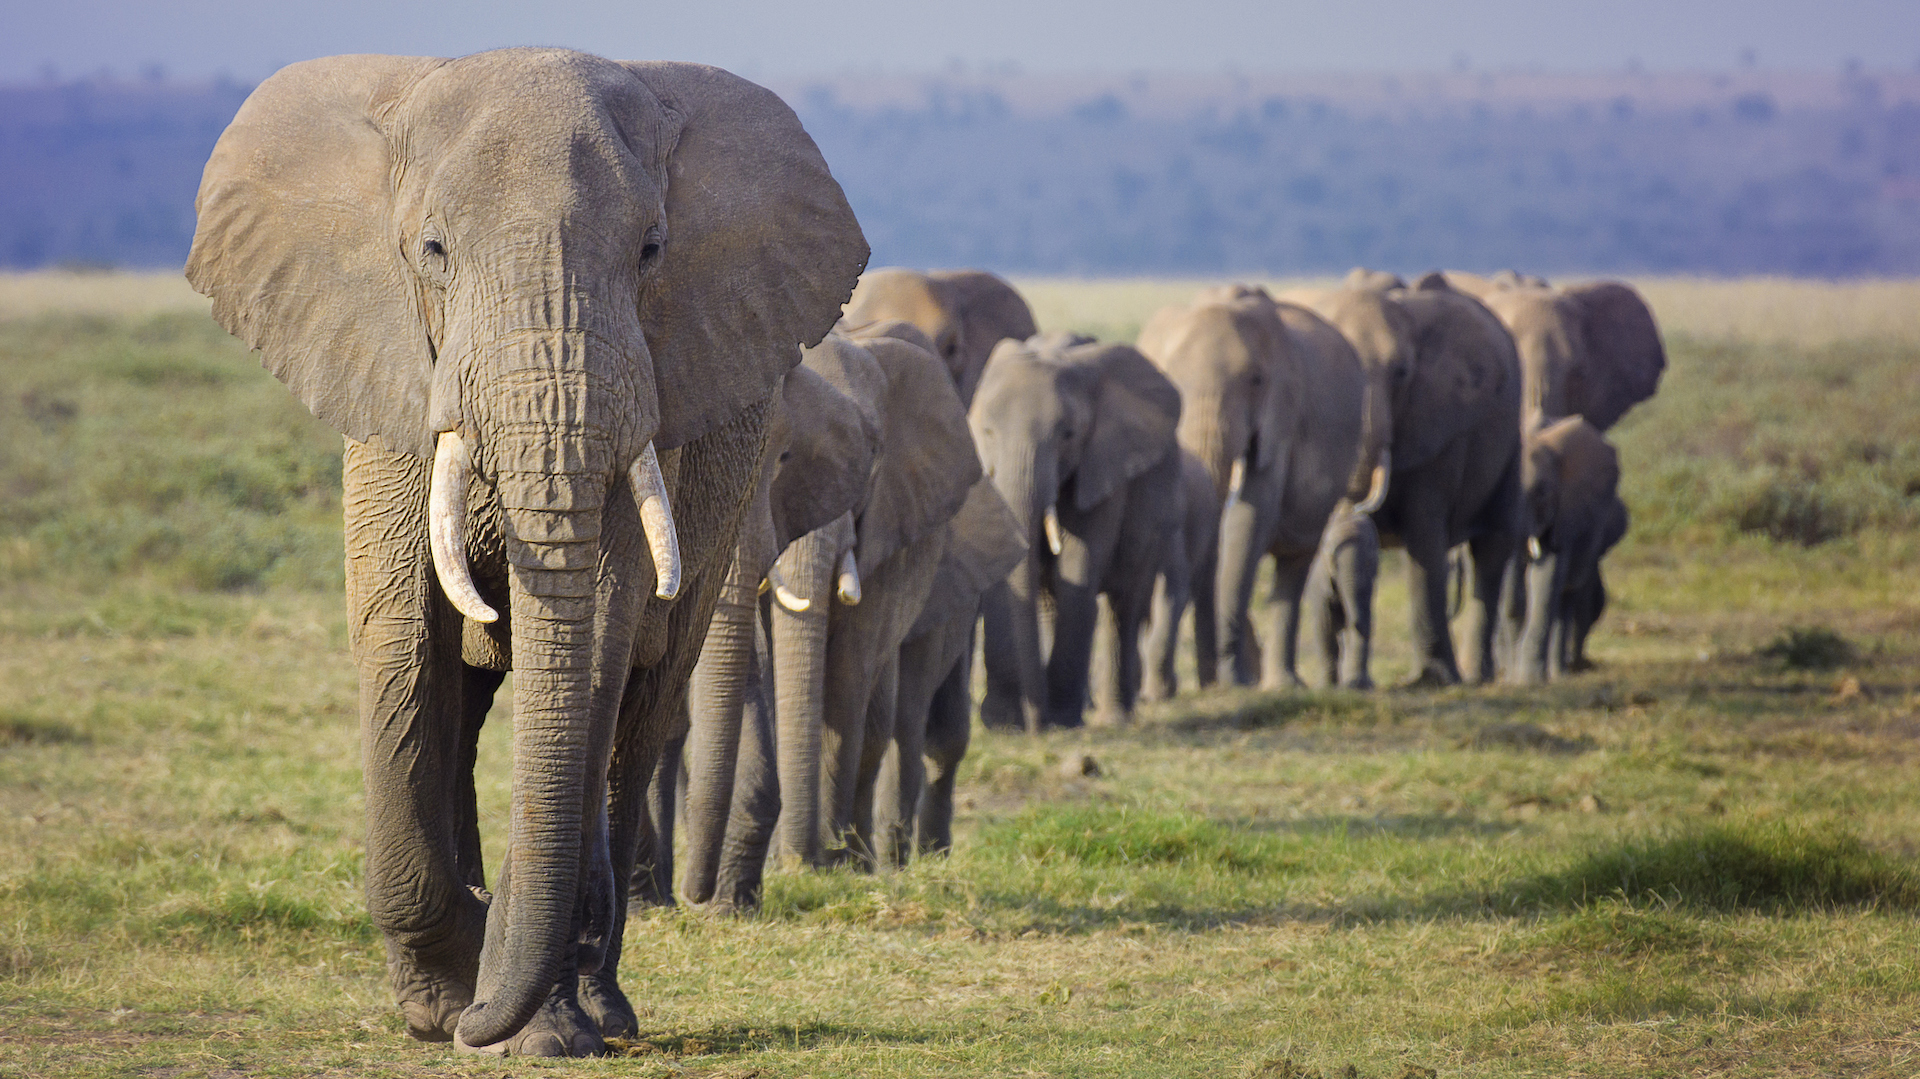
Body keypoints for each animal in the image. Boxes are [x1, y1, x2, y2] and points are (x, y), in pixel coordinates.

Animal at [183, 48, 867, 1052]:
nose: (475, 1015)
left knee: (639, 716)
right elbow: (399, 635)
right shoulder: (391, 373)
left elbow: (599, 638)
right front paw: (446, 999)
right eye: (433, 251)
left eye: (652, 250)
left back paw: (601, 1006)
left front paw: (522, 1018)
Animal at [975, 332, 1182, 725]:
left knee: (1125, 604)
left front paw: (1062, 718)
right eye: (986, 432)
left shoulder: (1104, 465)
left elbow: (1077, 568)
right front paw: (1008, 721)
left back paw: (1113, 716)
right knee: (1050, 602)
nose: (1032, 724)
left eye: (1068, 435)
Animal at [1282, 272, 1520, 683]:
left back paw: (1477, 677)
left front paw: (1433, 681)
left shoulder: (1441, 422)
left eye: (1402, 373)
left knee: (1492, 548)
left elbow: (1425, 534)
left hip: (1511, 440)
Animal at [1505, 412, 1628, 675]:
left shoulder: (1567, 510)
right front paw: (1511, 676)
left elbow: (1547, 574)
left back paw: (1560, 672)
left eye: (1541, 493)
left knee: (1567, 596)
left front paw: (1528, 679)